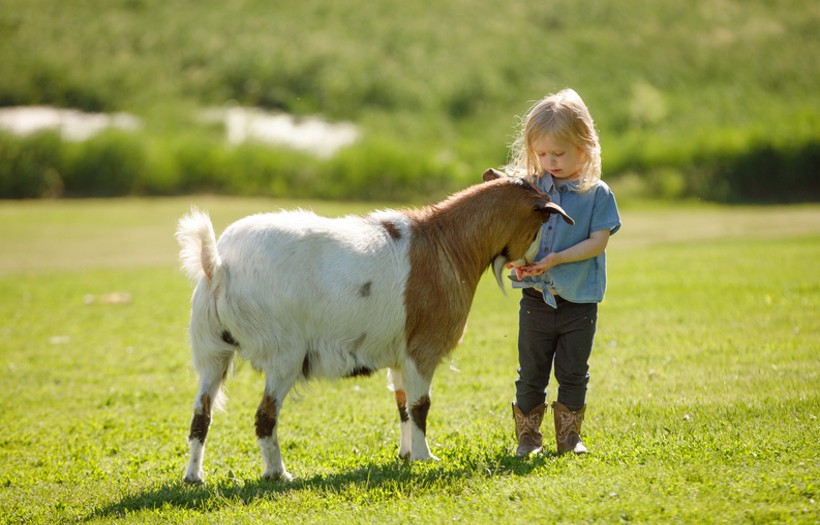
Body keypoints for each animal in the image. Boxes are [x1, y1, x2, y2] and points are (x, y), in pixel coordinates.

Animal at [176, 168, 573, 483]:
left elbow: (402, 405)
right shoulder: (421, 351)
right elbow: (421, 406)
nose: (537, 263)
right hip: (284, 354)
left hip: (211, 352)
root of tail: (218, 265)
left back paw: (194, 476)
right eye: (543, 222)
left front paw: (406, 455)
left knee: (201, 414)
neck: (448, 244)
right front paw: (426, 457)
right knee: (264, 416)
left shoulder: (398, 355)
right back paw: (279, 474)